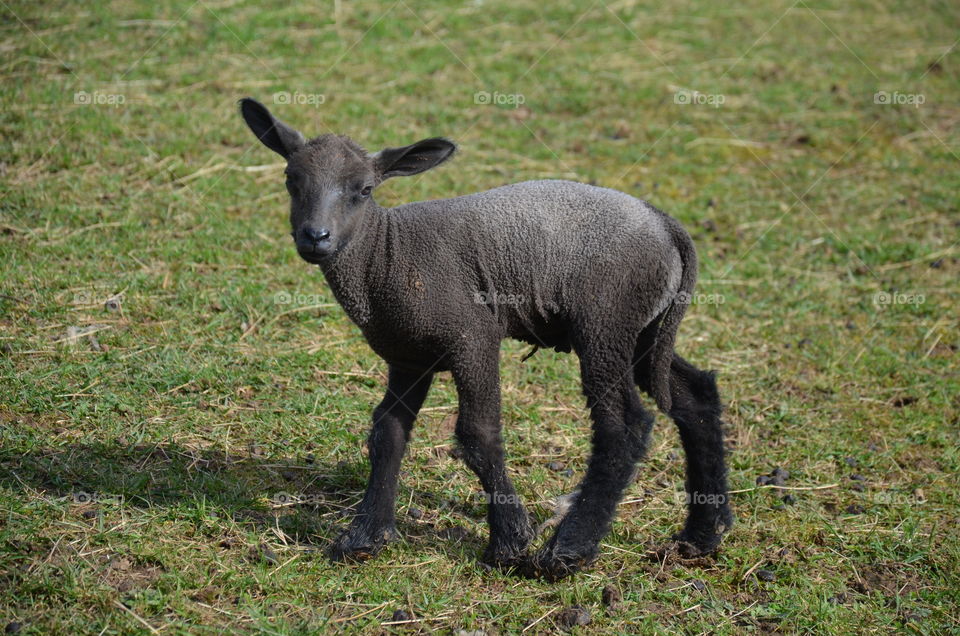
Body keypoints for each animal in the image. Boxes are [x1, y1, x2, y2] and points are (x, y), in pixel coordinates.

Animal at [238, 97, 733, 580]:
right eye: (290, 180)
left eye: (365, 190)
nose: (315, 237)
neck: (387, 255)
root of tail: (666, 225)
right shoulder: (408, 358)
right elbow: (387, 432)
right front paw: (364, 537)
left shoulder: (473, 337)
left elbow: (477, 434)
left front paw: (509, 542)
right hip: (644, 331)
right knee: (694, 395)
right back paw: (702, 534)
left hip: (605, 322)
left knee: (623, 425)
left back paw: (567, 551)